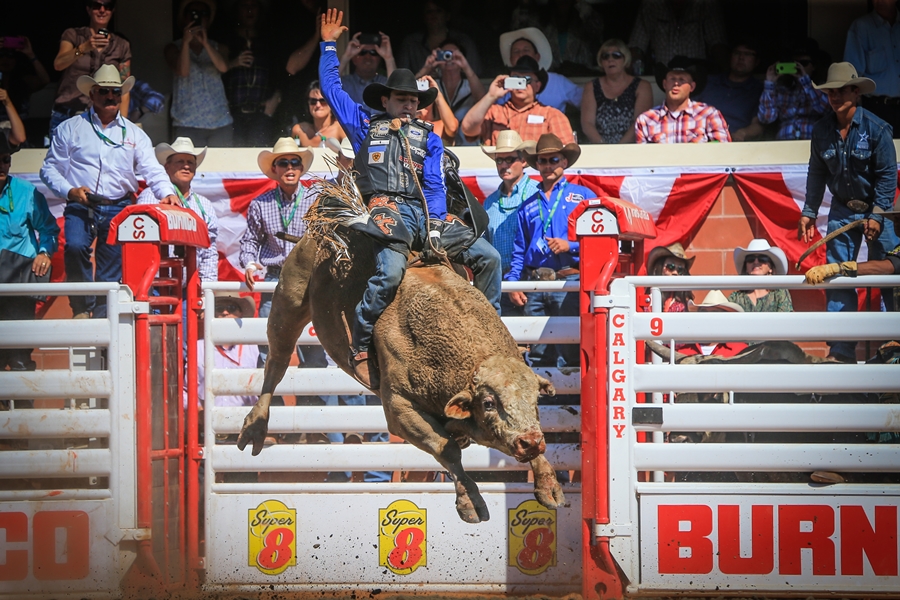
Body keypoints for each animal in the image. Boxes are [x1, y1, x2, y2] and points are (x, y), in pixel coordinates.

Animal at [239, 176, 564, 524]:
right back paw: (255, 426)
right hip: (290, 294)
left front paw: (549, 485)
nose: (529, 442)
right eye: (488, 403)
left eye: (535, 399)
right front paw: (471, 502)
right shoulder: (399, 408)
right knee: (277, 360)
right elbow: (447, 448)